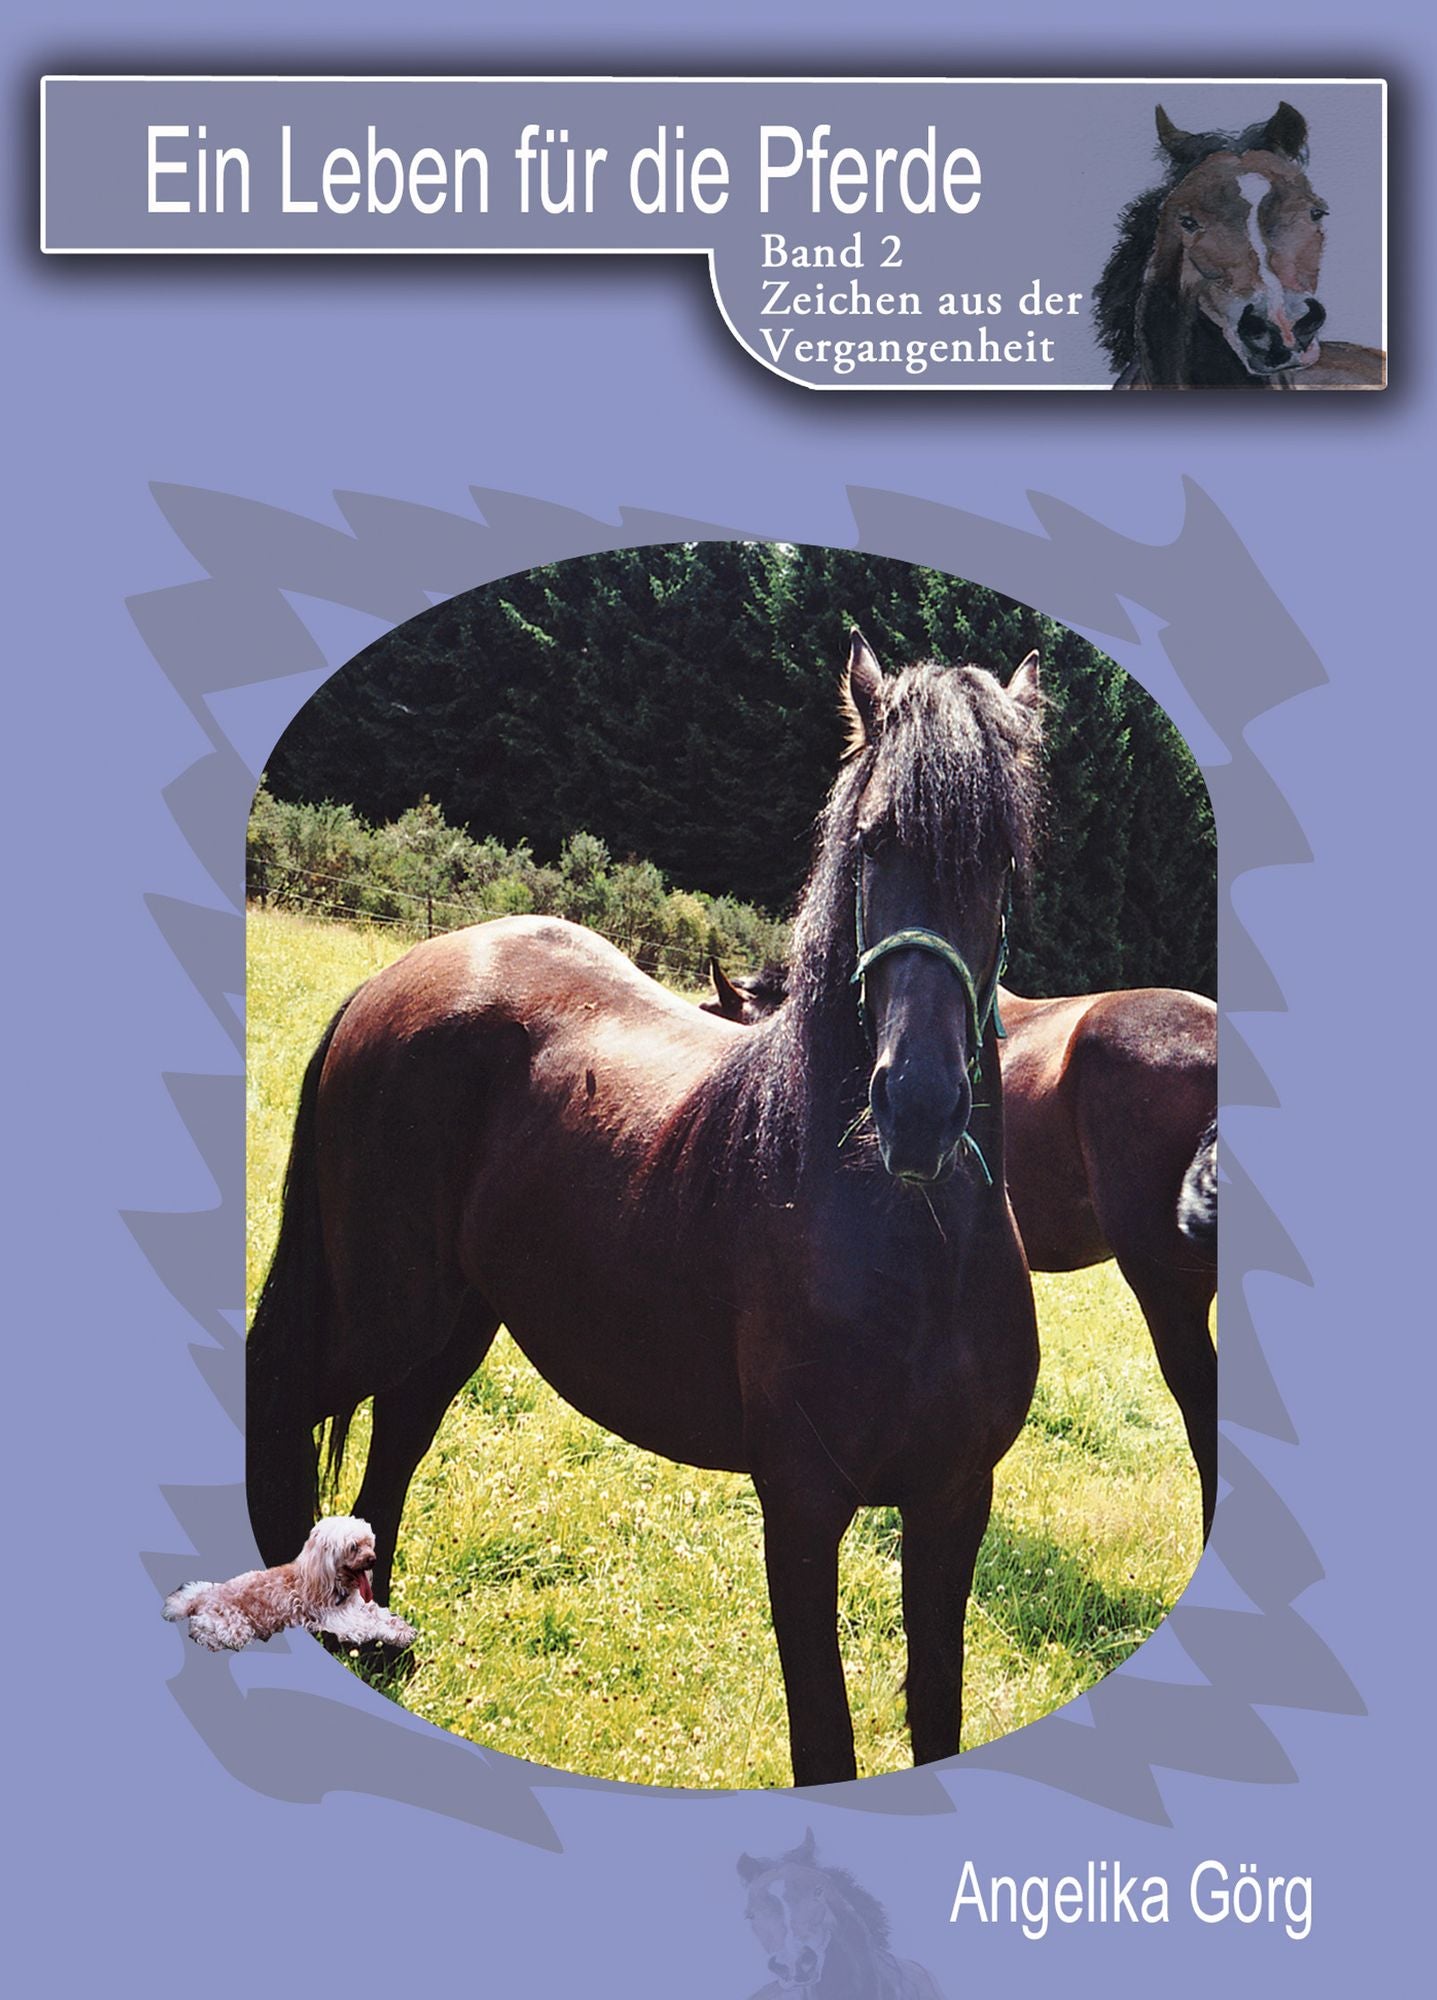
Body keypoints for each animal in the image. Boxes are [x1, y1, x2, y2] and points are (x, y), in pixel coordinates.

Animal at [247, 634, 1045, 1787]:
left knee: (395, 1436)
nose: (922, 1107)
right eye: (872, 841)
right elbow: (825, 1739)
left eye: (1003, 864)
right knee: (281, 1398)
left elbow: (936, 1710)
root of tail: (397, 976)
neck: (914, 1252)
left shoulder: (952, 1501)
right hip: (381, 1311)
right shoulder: (801, 1504)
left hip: (455, 1320)